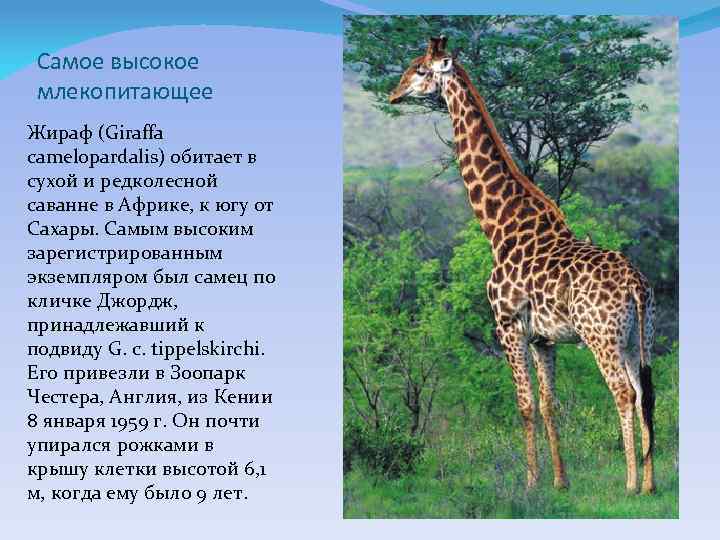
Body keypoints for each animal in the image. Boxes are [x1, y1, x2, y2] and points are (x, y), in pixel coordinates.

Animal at [389, 36, 656, 494]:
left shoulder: (507, 324)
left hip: (600, 337)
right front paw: (561, 481)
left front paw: (531, 482)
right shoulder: (543, 339)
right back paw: (653, 483)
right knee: (647, 392)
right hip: (640, 336)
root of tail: (635, 286)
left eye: (420, 69)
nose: (394, 93)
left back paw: (630, 483)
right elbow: (550, 404)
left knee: (623, 392)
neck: (500, 227)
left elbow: (525, 404)